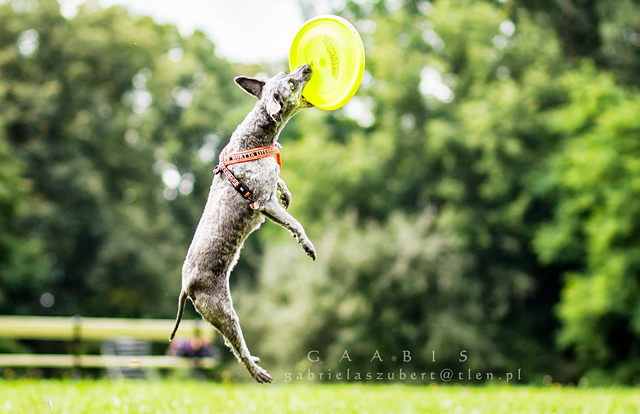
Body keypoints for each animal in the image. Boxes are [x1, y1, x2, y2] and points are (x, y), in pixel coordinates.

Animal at [169, 64, 316, 383]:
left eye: (286, 73)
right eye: (291, 83)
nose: (305, 67)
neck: (258, 140)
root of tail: (186, 286)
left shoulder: (271, 184)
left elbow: (281, 183)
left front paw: (287, 193)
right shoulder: (263, 202)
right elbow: (295, 224)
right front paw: (308, 246)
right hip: (222, 310)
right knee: (236, 347)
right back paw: (259, 372)